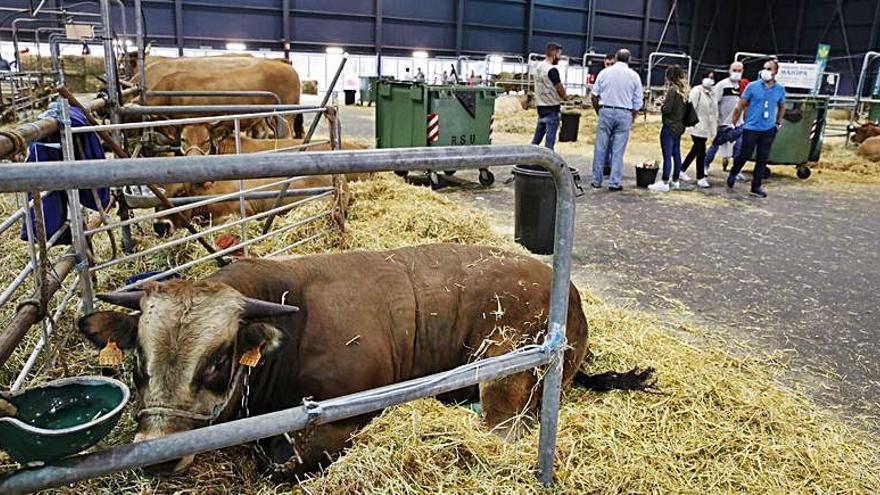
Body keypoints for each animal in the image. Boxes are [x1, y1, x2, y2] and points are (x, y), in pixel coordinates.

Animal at [77, 245, 652, 480]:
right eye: (138, 361)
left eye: (219, 361)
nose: (157, 453)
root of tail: (568, 290)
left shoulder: (345, 416)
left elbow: (285, 464)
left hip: (504, 365)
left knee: (502, 432)